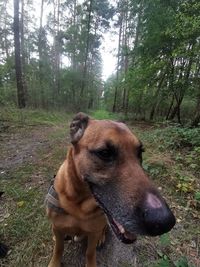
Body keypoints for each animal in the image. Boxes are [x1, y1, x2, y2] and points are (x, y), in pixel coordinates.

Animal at [45, 113, 175, 267]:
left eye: (140, 153)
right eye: (105, 153)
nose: (165, 222)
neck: (78, 207)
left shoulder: (93, 233)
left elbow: (90, 252)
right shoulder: (57, 228)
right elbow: (58, 248)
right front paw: (54, 262)